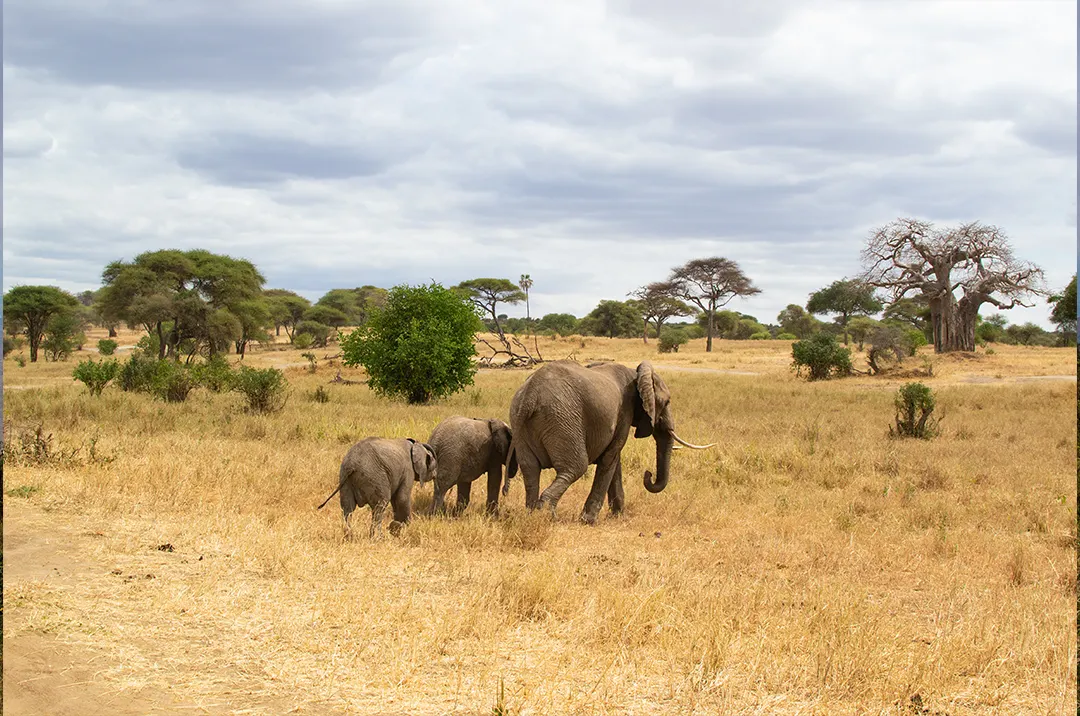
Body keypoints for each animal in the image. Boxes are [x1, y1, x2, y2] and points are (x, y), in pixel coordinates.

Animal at [508, 360, 714, 524]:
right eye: (667, 402)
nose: (648, 474)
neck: (635, 375)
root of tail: (530, 395)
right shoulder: (625, 411)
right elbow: (610, 457)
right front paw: (589, 521)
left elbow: (615, 461)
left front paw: (618, 516)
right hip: (562, 420)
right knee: (575, 467)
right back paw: (547, 517)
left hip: (520, 422)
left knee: (530, 469)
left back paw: (531, 516)